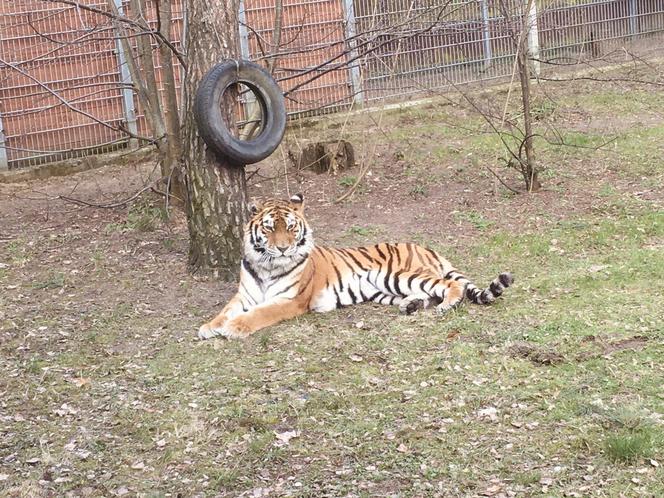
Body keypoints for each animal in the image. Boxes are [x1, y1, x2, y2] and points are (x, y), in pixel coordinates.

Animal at [197, 193, 512, 340]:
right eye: (269, 228)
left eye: (290, 227)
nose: (284, 247)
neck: (266, 265)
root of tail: (426, 247)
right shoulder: (244, 295)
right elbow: (225, 309)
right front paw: (209, 326)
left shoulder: (290, 300)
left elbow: (260, 313)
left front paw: (234, 327)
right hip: (386, 289)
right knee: (426, 295)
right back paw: (410, 306)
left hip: (400, 274)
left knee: (450, 285)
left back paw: (448, 305)